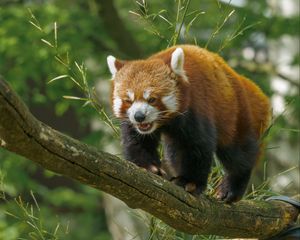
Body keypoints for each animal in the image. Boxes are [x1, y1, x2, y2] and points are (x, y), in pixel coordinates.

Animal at [107, 45, 270, 202]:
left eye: (152, 99)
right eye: (128, 101)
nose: (139, 116)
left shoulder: (196, 108)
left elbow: (198, 146)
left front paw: (189, 182)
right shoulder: (134, 125)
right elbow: (138, 141)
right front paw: (147, 166)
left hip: (235, 113)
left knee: (237, 153)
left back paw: (231, 189)